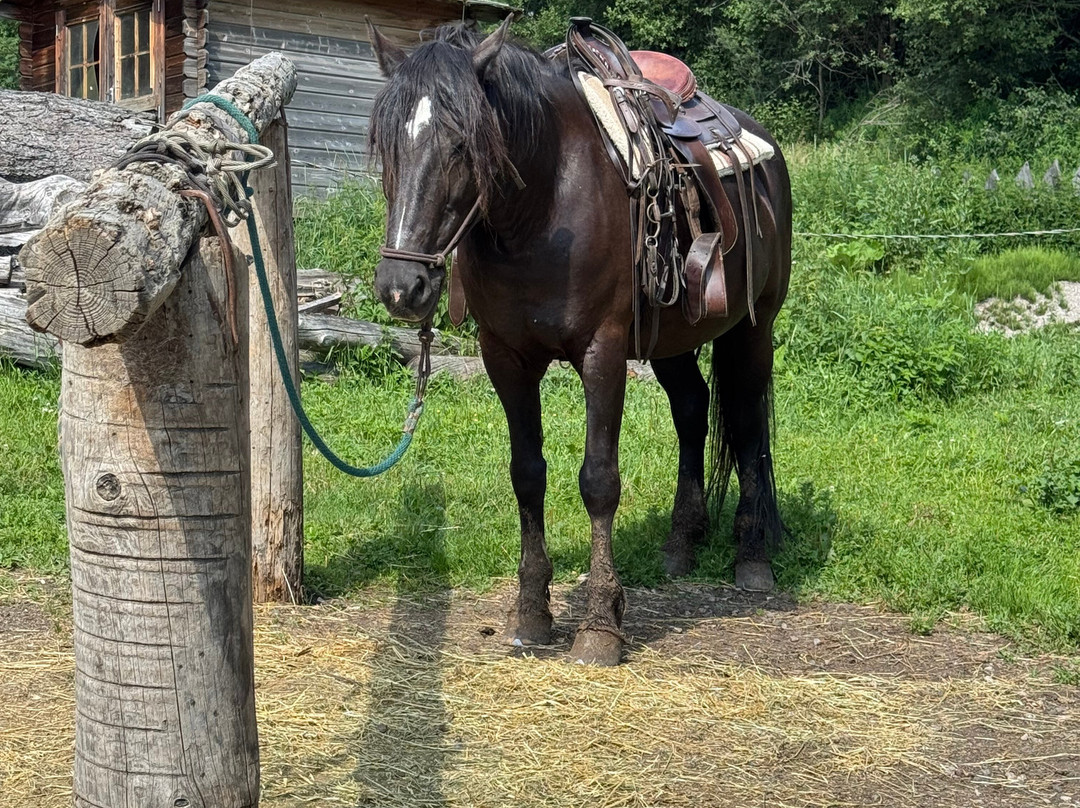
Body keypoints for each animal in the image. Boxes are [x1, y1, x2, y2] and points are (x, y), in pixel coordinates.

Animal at [366, 18, 792, 666]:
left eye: (463, 144)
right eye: (387, 145)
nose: (401, 288)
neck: (543, 208)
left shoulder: (603, 352)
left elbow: (598, 481)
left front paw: (599, 626)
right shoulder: (505, 358)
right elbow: (526, 473)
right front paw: (532, 612)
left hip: (753, 327)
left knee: (744, 422)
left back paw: (752, 558)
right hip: (672, 341)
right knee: (693, 411)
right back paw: (681, 544)